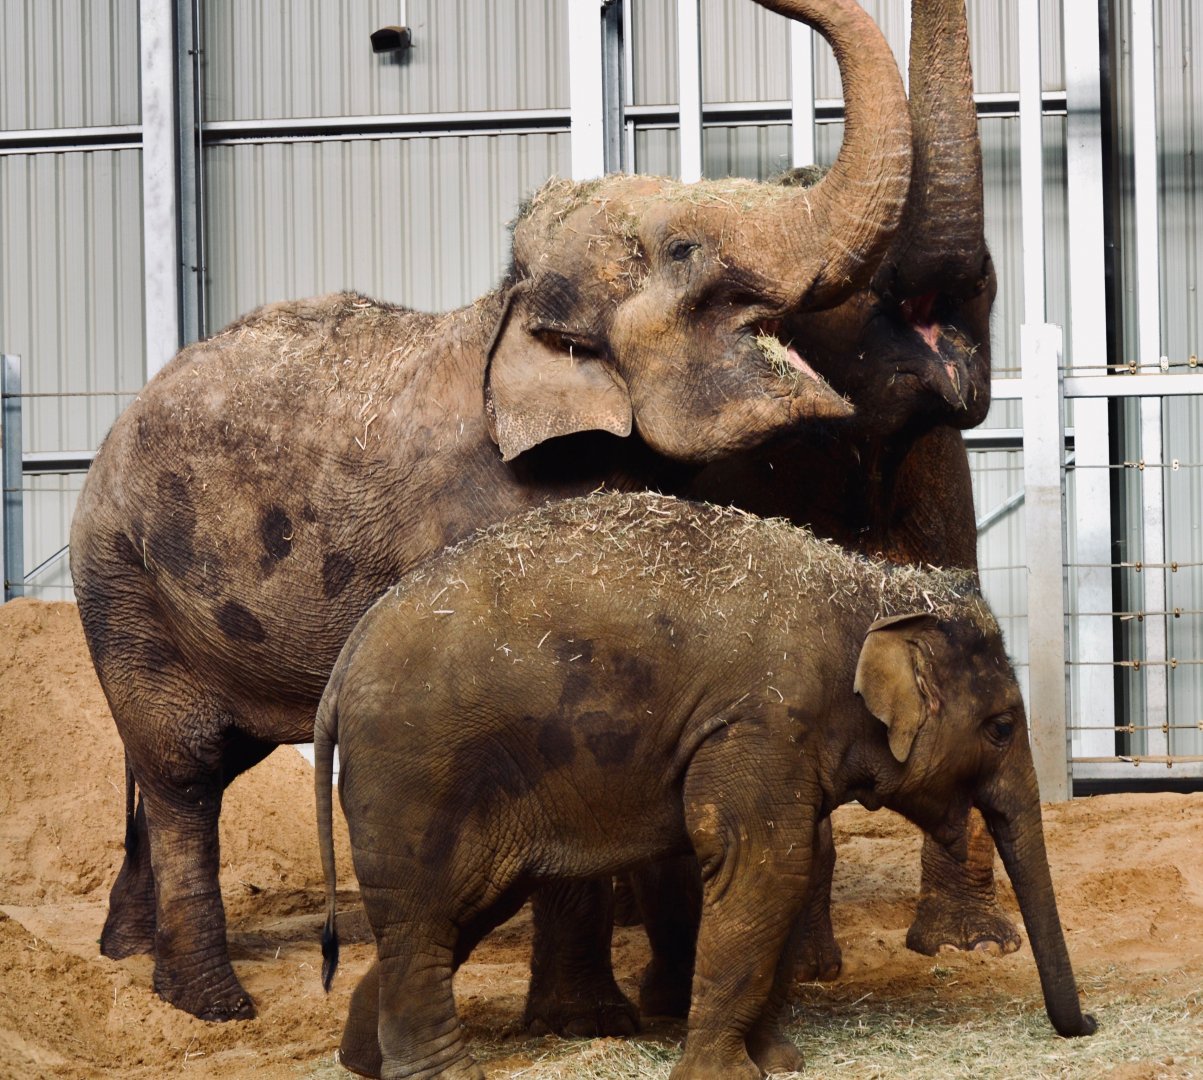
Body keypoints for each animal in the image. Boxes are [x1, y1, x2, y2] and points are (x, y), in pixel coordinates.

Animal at [68, 0, 913, 1024]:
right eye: (684, 252)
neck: (506, 315)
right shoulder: (476, 515)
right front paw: (591, 1023)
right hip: (121, 582)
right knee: (185, 767)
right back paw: (213, 1004)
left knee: (186, 763)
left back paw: (131, 962)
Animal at [315, 491, 1096, 1080]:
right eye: (1001, 727)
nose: (1086, 1023)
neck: (868, 589)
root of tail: (343, 664)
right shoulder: (763, 720)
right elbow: (765, 863)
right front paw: (725, 1073)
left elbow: (789, 862)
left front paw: (779, 1061)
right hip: (415, 775)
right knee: (423, 912)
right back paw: (439, 1073)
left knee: (460, 907)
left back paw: (361, 1059)